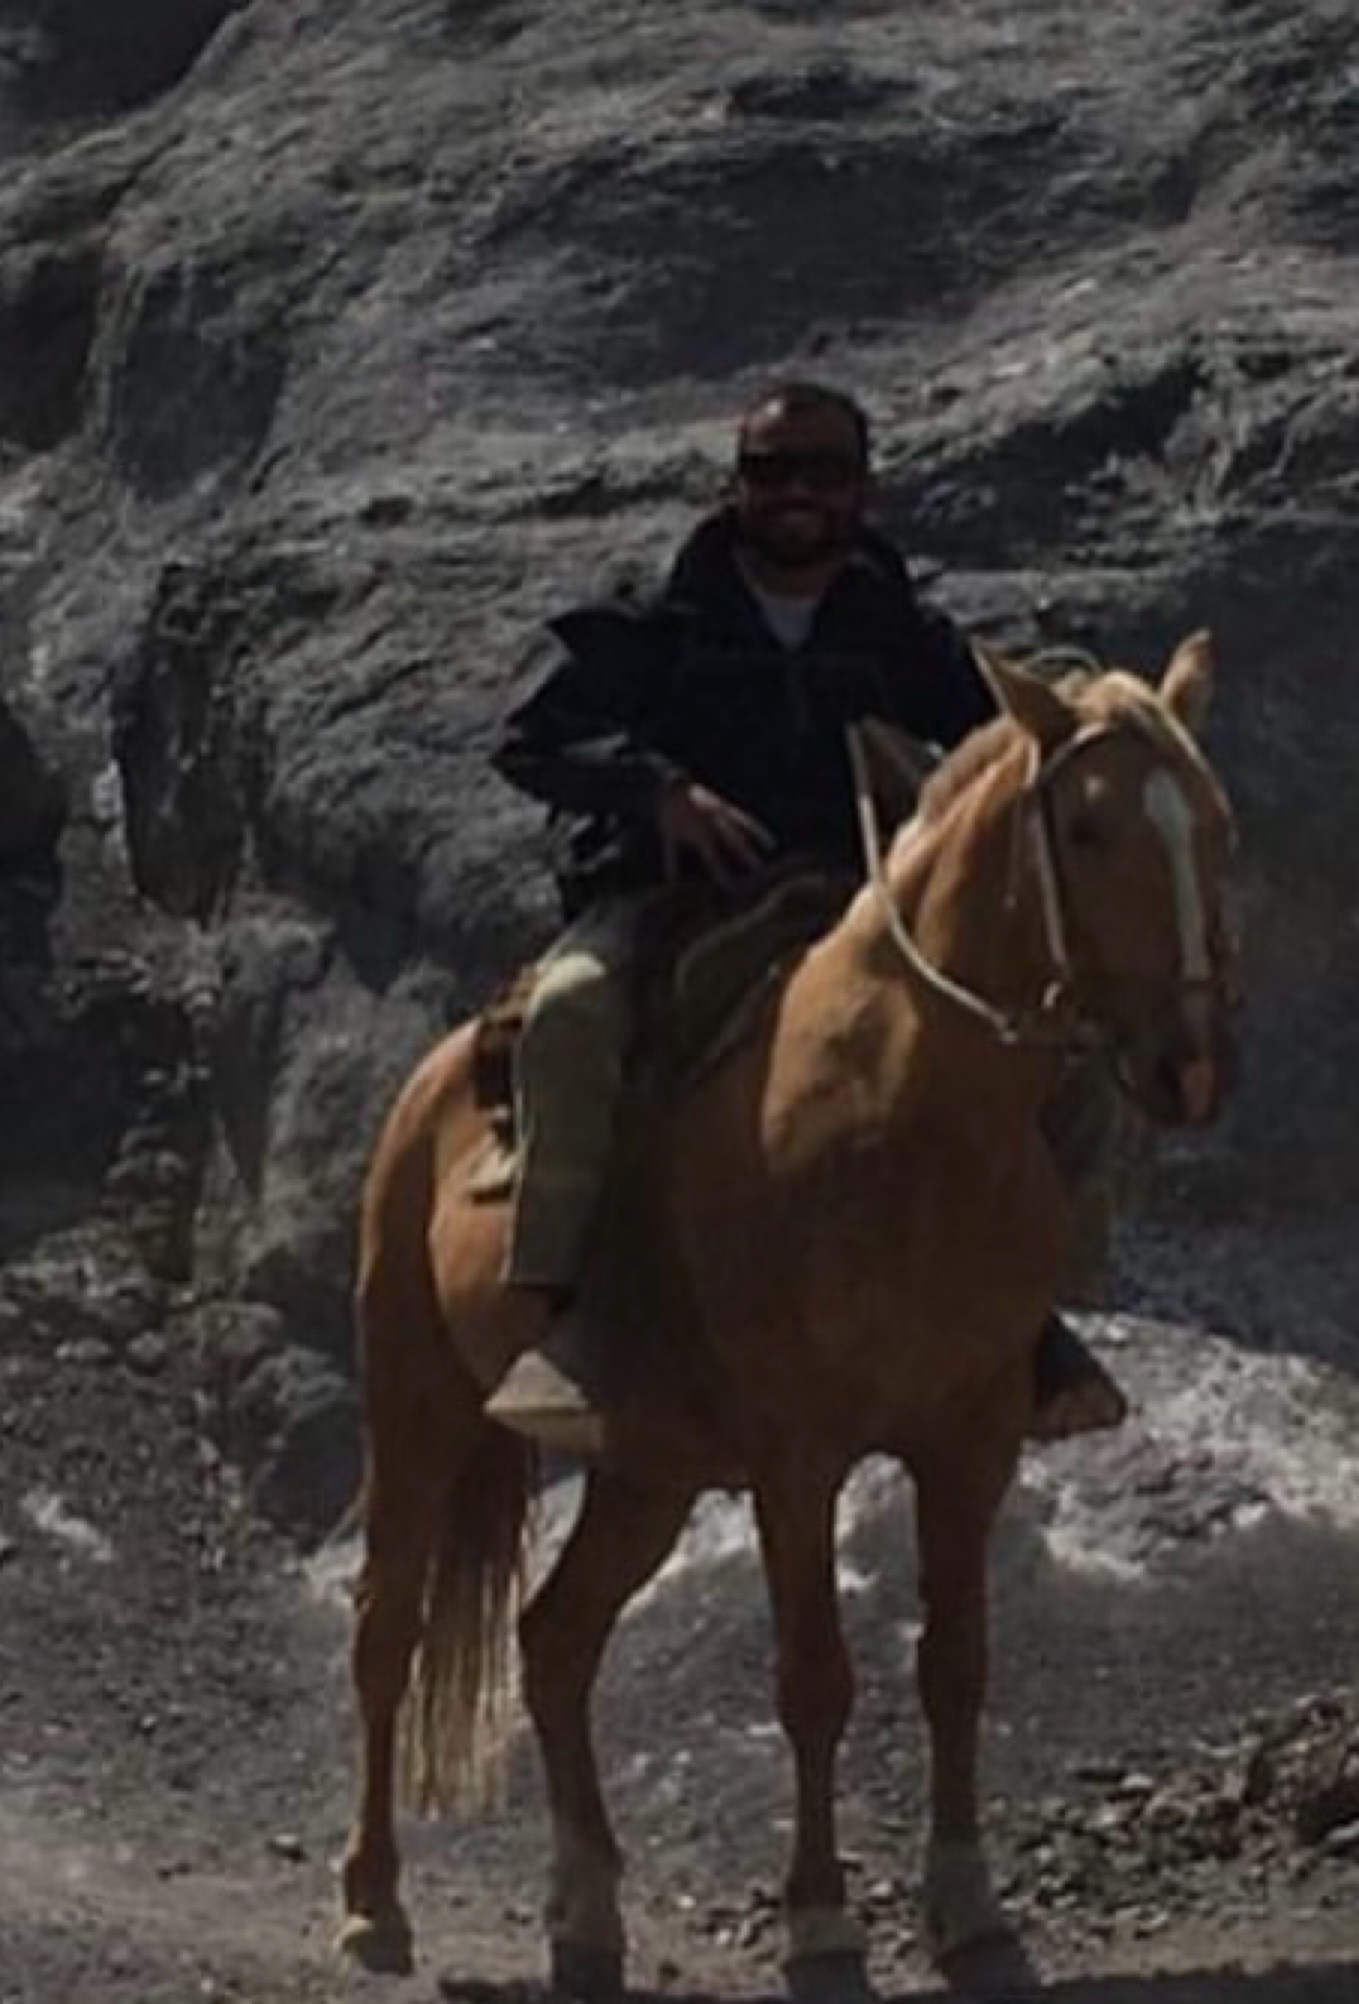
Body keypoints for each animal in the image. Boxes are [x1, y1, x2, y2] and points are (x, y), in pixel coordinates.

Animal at [336, 632, 1237, 1995]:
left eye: (1214, 823)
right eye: (1084, 827)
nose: (1187, 1066)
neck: (901, 1113)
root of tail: (430, 1087)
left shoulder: (970, 1439)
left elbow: (955, 1664)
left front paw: (971, 1911)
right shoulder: (798, 1455)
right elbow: (815, 1679)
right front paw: (820, 1921)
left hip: (646, 1470)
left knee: (555, 1641)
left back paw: (585, 1915)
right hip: (419, 1409)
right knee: (388, 1629)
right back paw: (373, 1903)